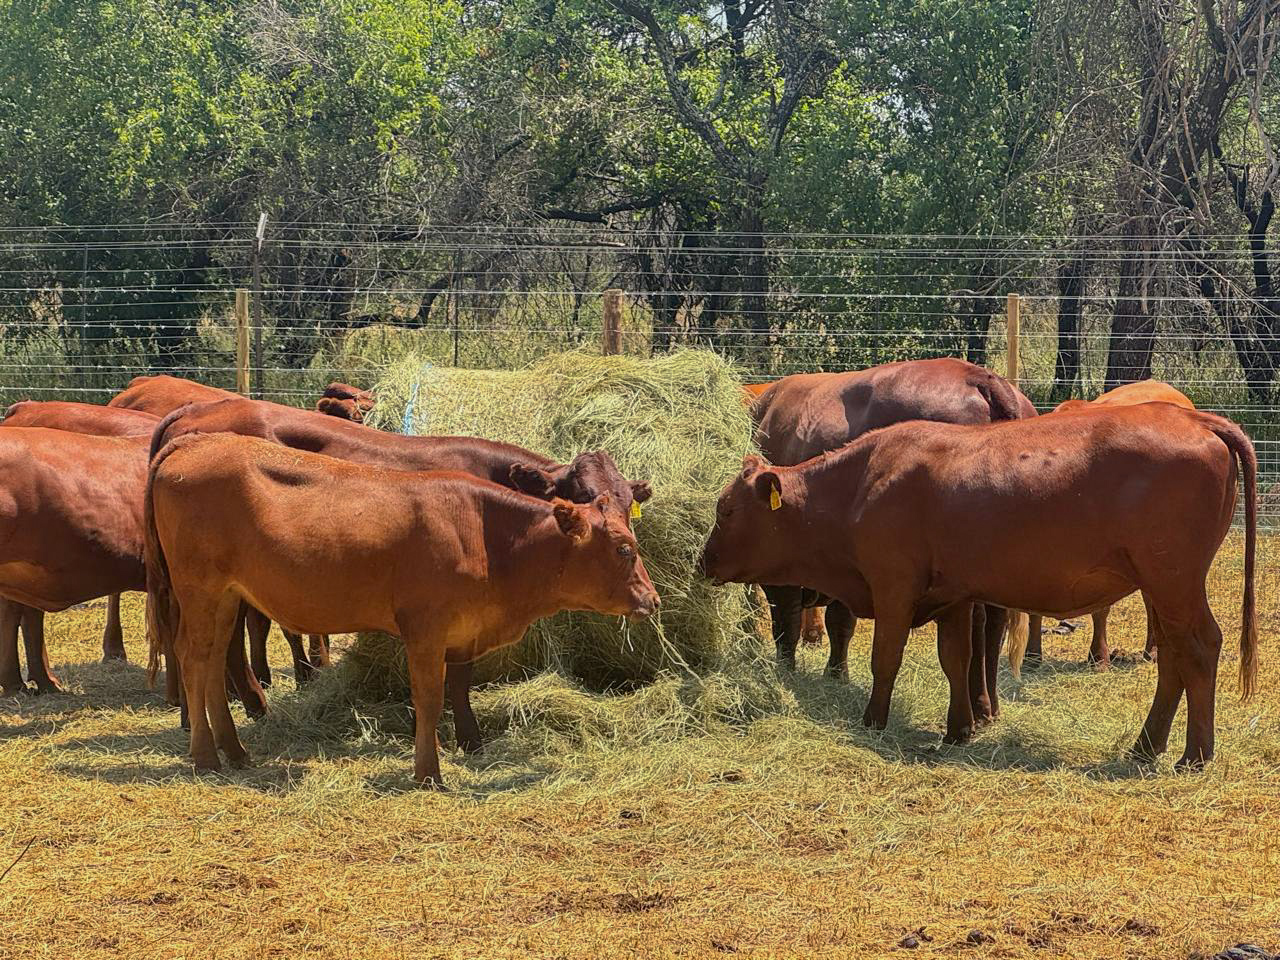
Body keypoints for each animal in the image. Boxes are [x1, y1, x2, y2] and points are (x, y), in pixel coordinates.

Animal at [145, 433, 659, 786]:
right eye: (624, 548)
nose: (652, 600)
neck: (484, 533)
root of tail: (197, 441)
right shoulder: (425, 629)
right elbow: (429, 699)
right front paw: (428, 771)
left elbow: (454, 690)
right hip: (199, 588)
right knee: (194, 658)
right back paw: (205, 756)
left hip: (226, 596)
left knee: (213, 660)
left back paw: (233, 750)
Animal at [748, 358, 1036, 724]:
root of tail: (981, 378)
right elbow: (839, 621)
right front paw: (836, 674)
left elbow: (787, 620)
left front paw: (787, 671)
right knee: (993, 625)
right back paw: (990, 707)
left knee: (977, 623)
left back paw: (978, 707)